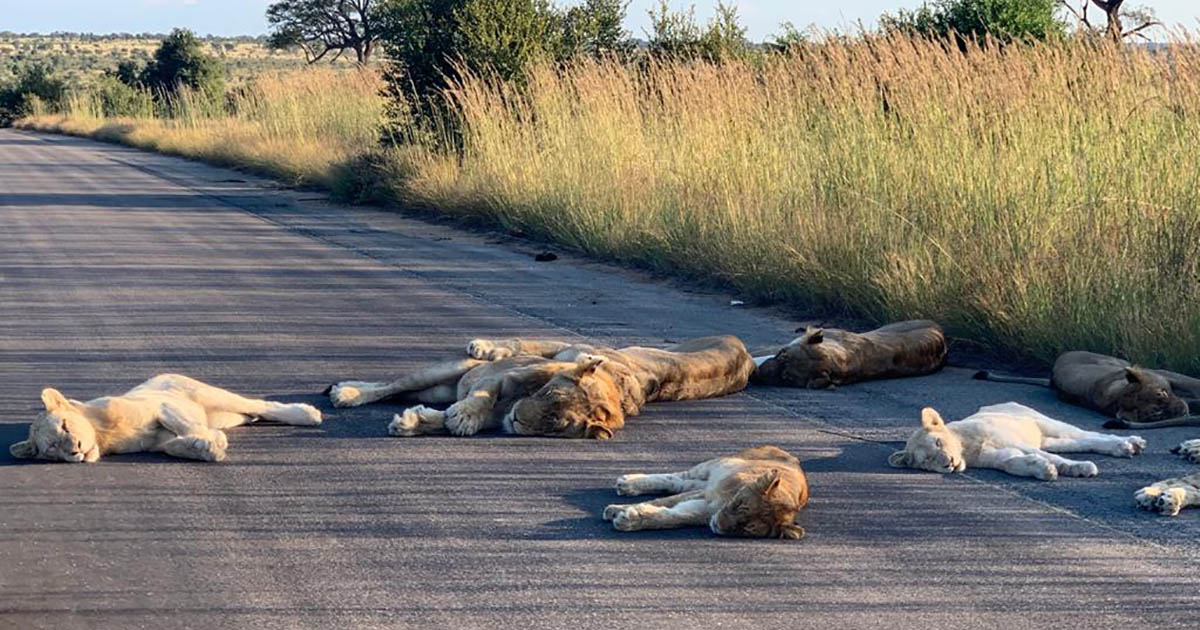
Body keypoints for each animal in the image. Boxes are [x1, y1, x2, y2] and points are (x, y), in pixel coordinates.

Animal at [9, 374, 322, 463]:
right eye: (52, 448)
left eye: (64, 426)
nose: (75, 450)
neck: (103, 436)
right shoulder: (155, 442)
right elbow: (172, 446)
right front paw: (205, 447)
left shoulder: (160, 405)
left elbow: (181, 423)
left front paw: (210, 440)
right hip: (228, 416)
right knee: (249, 414)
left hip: (208, 394)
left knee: (261, 404)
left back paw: (308, 413)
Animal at [602, 445, 808, 539]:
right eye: (739, 505)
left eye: (745, 529)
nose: (718, 525)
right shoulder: (708, 495)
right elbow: (662, 502)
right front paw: (616, 510)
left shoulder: (704, 509)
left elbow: (673, 517)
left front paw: (629, 518)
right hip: (712, 466)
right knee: (675, 477)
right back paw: (627, 483)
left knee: (679, 483)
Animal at [888, 402, 1146, 480]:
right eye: (927, 461)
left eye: (938, 443)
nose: (949, 463)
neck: (966, 448)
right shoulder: (1000, 457)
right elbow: (1015, 463)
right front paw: (1044, 470)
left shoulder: (1010, 440)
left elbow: (1053, 458)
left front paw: (1079, 468)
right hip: (1049, 438)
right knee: (1081, 443)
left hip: (1045, 422)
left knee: (1091, 435)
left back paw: (1129, 444)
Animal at [974, 351, 1200, 429]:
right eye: (1155, 415)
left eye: (1162, 394)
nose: (1182, 410)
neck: (1117, 396)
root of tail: (1052, 377)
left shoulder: (1166, 376)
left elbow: (1192, 384)